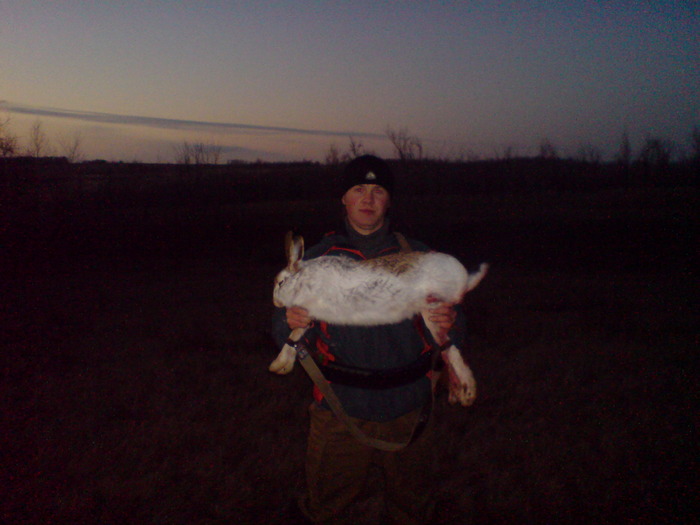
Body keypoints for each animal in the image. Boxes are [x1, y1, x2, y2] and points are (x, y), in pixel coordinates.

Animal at [270, 231, 488, 406]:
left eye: (281, 282)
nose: (276, 303)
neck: (303, 280)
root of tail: (464, 279)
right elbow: (296, 335)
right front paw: (282, 366)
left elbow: (295, 334)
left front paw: (277, 365)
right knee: (447, 348)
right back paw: (459, 393)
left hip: (434, 306)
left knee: (450, 350)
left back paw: (466, 393)